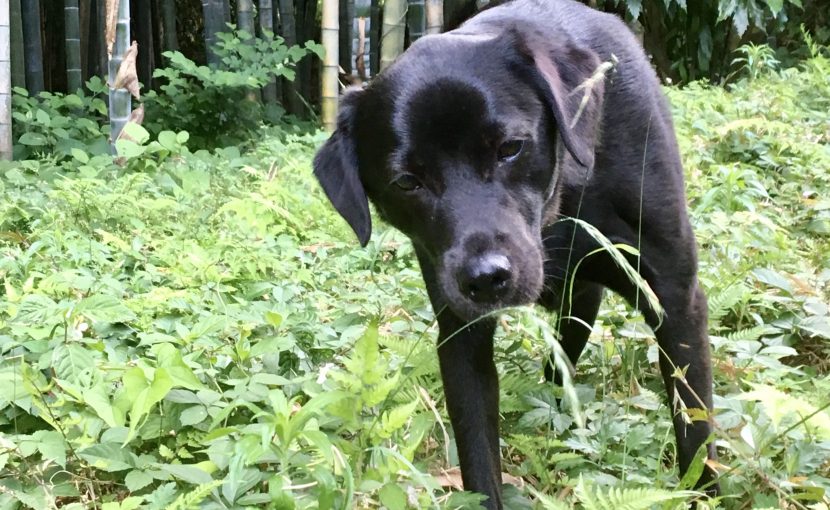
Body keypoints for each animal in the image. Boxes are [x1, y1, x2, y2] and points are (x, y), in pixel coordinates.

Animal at [316, 0, 720, 506]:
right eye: (407, 181)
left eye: (511, 147)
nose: (486, 278)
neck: (561, 206)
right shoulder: (461, 334)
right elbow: (479, 456)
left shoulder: (675, 297)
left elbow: (695, 432)